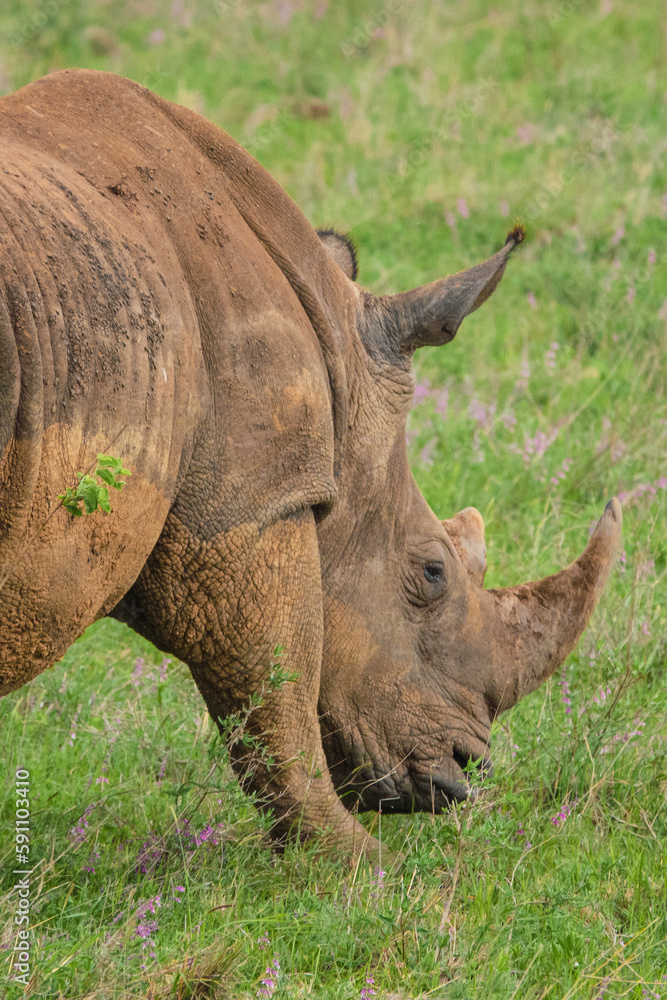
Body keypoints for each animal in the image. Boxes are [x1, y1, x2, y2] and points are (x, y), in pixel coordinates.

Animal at [0, 70, 621, 850]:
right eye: (431, 573)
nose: (464, 771)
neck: (335, 349)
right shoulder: (252, 503)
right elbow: (273, 688)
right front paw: (352, 860)